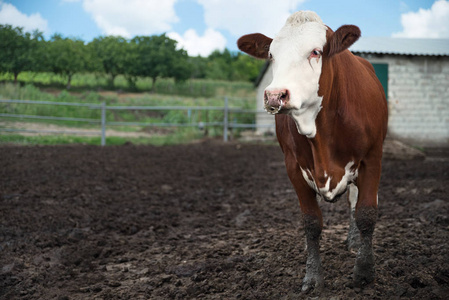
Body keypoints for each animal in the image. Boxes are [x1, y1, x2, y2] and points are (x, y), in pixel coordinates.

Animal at [236, 11, 386, 290]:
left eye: (316, 52)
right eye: (271, 54)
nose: (275, 95)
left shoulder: (372, 158)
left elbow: (366, 213)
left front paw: (364, 271)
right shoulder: (293, 166)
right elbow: (311, 222)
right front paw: (313, 276)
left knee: (354, 200)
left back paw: (354, 241)